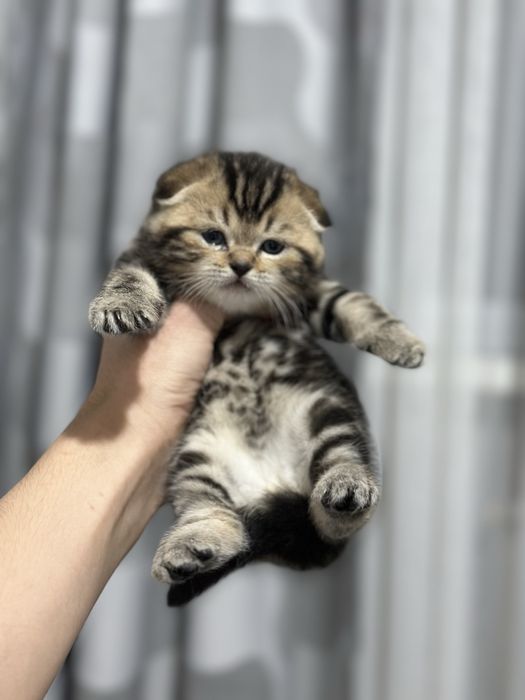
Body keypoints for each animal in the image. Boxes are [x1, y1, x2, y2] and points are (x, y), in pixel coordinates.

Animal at [89, 151, 425, 606]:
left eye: (272, 247)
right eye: (214, 236)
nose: (241, 266)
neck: (235, 311)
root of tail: (272, 483)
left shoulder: (305, 292)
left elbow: (350, 302)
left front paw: (399, 340)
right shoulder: (139, 254)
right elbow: (130, 273)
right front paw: (121, 305)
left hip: (326, 407)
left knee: (338, 480)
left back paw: (345, 491)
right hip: (197, 455)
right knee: (210, 509)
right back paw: (192, 547)